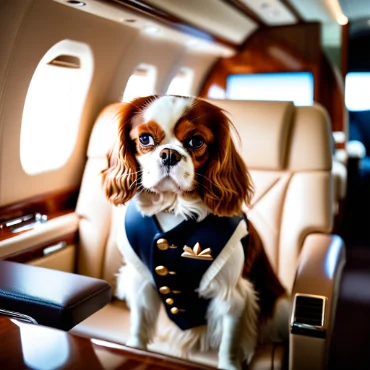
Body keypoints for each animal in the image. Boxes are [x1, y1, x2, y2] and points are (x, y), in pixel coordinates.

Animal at [101, 96, 290, 370]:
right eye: (145, 139)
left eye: (196, 141)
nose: (169, 154)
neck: (174, 209)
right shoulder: (141, 282)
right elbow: (139, 321)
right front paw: (135, 349)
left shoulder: (231, 295)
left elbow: (230, 341)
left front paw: (229, 365)